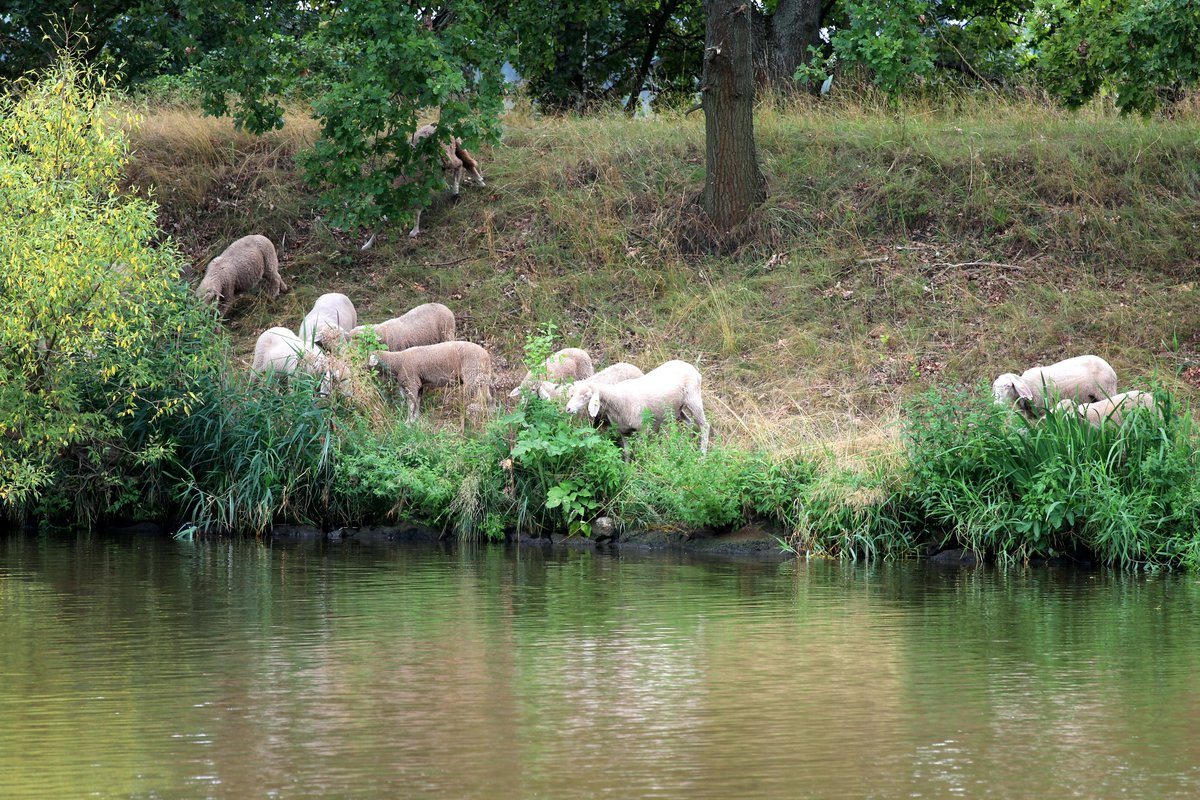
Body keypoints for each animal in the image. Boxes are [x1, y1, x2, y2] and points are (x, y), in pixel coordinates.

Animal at [564, 359, 705, 460]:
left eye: (586, 396)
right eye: (572, 394)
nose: (568, 409)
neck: (618, 400)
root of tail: (688, 365)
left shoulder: (643, 429)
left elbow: (640, 451)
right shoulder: (623, 430)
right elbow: (627, 452)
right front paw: (626, 470)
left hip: (693, 398)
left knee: (704, 425)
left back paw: (702, 454)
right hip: (677, 408)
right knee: (689, 422)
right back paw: (682, 444)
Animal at [988, 355, 1118, 419]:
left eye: (1008, 386)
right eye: (994, 387)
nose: (997, 405)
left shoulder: (1044, 409)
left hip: (1106, 390)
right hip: (1091, 396)